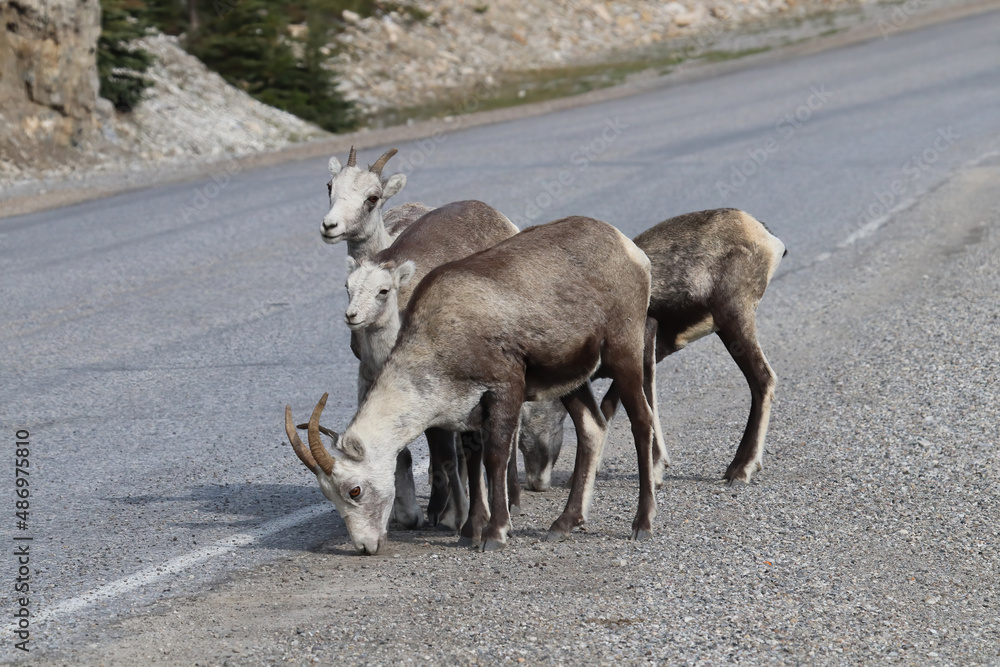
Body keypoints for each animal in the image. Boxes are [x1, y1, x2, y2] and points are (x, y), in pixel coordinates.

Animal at [285, 216, 658, 554]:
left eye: (355, 490)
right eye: (328, 494)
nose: (366, 546)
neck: (445, 332)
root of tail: (629, 250)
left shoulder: (505, 389)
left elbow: (494, 456)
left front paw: (495, 534)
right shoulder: (469, 410)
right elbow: (472, 460)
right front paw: (470, 531)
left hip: (624, 353)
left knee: (642, 421)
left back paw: (642, 525)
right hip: (572, 382)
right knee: (592, 428)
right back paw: (563, 524)